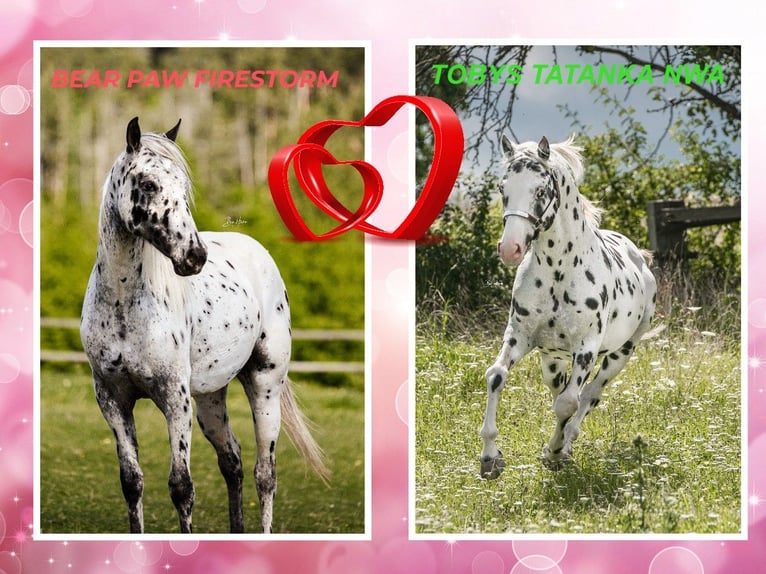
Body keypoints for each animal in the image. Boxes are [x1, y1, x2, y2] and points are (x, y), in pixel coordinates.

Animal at [80, 117, 328, 533]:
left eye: (183, 186)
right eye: (149, 184)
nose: (194, 256)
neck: (124, 306)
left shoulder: (174, 400)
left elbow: (181, 487)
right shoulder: (112, 400)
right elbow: (132, 483)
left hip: (265, 386)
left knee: (265, 474)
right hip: (211, 398)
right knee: (233, 461)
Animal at [480, 135, 657, 478]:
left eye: (540, 190)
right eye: (502, 188)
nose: (510, 249)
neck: (558, 270)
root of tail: (639, 256)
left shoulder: (586, 347)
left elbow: (567, 404)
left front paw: (554, 452)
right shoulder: (519, 336)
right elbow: (496, 375)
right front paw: (490, 458)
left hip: (620, 353)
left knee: (588, 395)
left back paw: (565, 445)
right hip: (552, 359)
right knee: (560, 390)